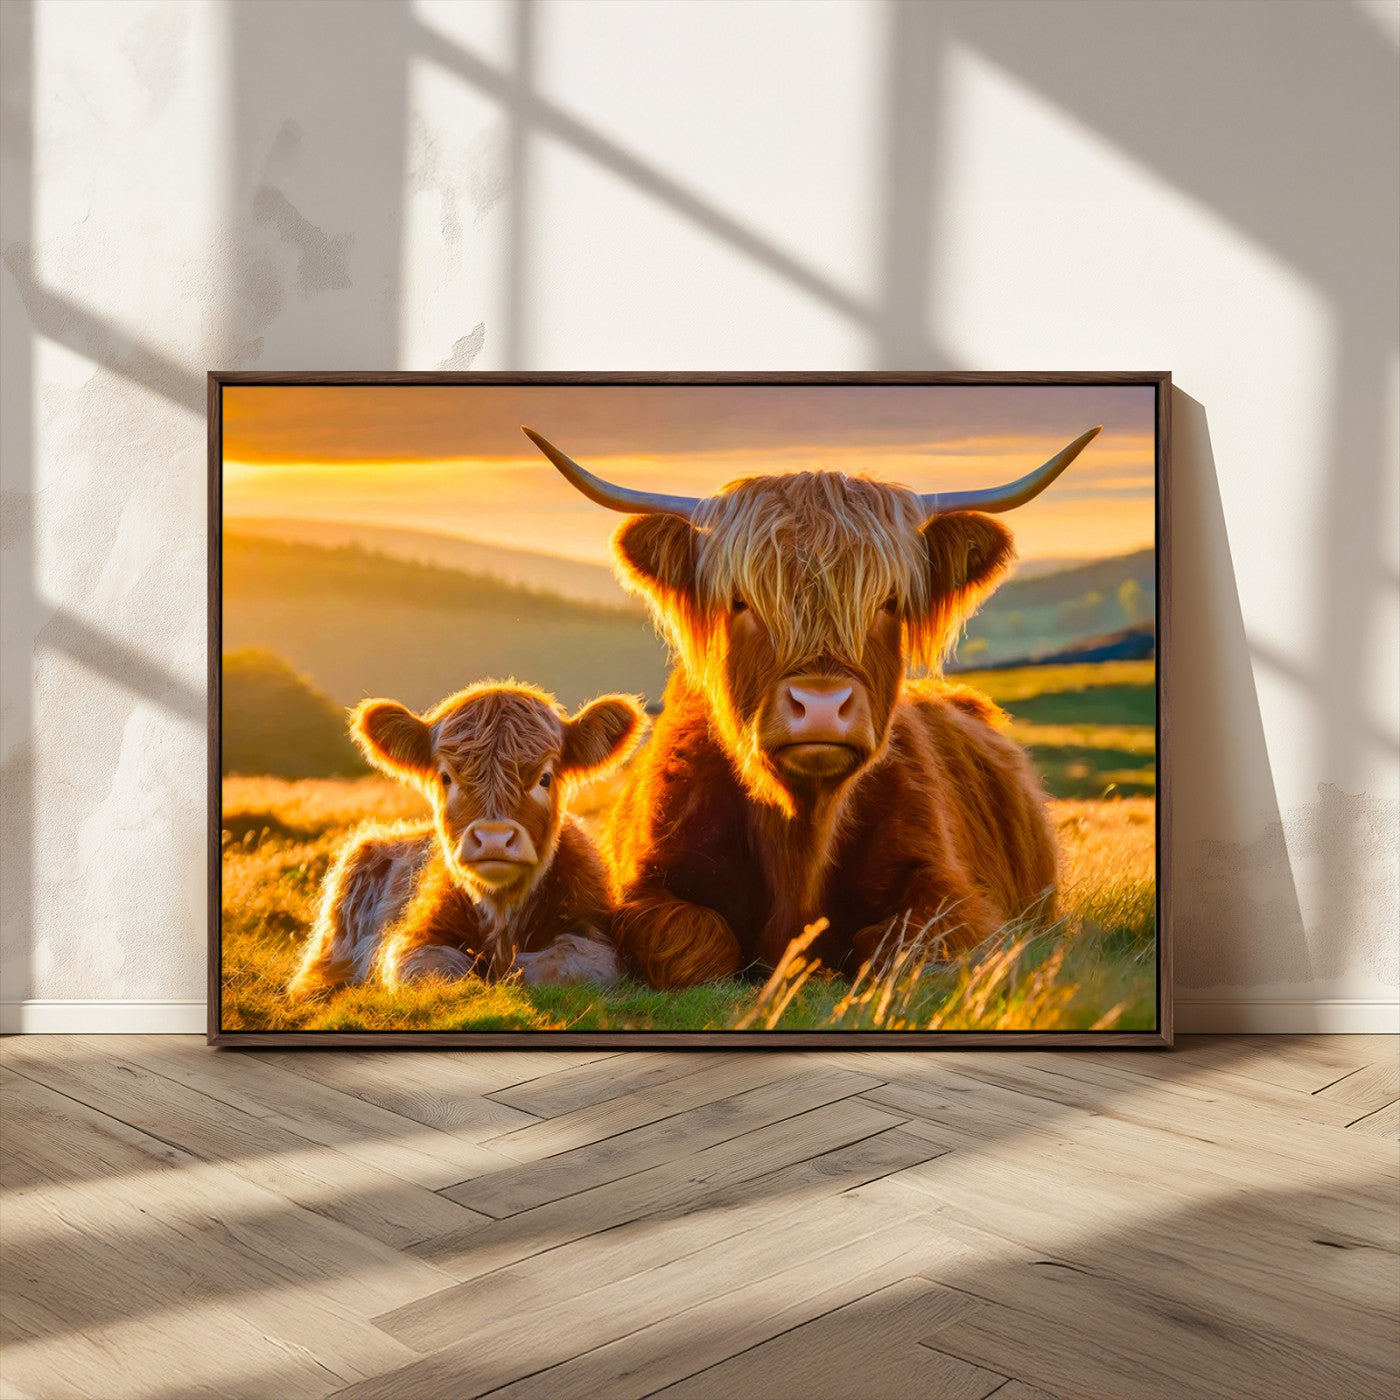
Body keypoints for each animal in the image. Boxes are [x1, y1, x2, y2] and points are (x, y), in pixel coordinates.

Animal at [287, 681, 646, 998]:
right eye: (447, 777)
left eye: (544, 778)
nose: (493, 839)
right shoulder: (411, 940)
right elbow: (434, 971)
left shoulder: (595, 934)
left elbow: (563, 965)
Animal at [522, 423, 1101, 990]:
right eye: (741, 601)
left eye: (888, 602)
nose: (821, 705)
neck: (799, 835)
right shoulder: (645, 890)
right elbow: (695, 944)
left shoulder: (954, 895)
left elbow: (893, 947)